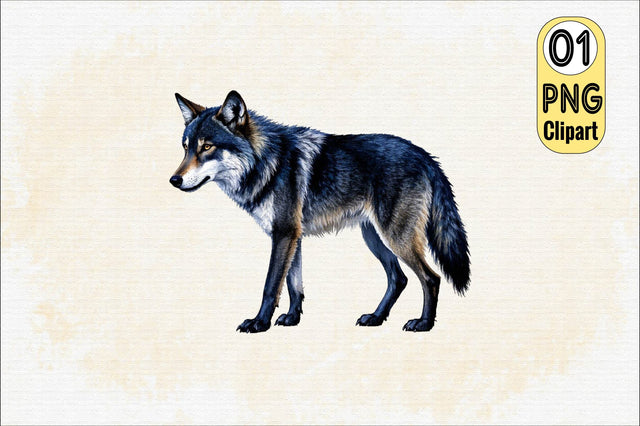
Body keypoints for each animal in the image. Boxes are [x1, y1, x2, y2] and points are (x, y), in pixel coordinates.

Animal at [170, 91, 470, 333]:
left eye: (207, 147)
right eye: (186, 148)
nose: (174, 180)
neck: (266, 163)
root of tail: (426, 156)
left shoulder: (284, 234)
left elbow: (271, 285)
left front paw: (259, 323)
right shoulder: (293, 236)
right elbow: (294, 285)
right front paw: (292, 318)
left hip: (395, 238)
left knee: (431, 278)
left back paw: (424, 324)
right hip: (374, 238)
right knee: (399, 279)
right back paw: (375, 317)